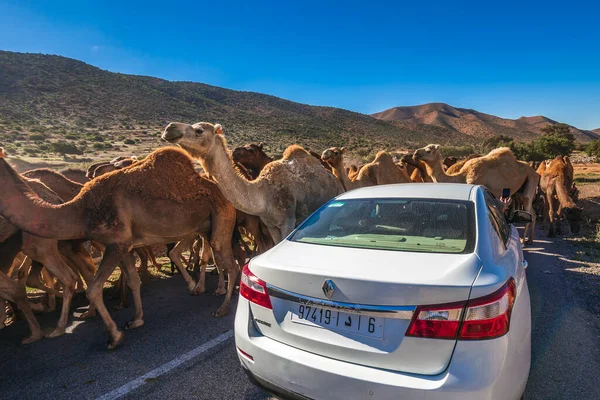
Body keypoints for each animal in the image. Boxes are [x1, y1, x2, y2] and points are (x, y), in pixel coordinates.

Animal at [0, 146, 239, 346]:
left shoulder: (115, 243)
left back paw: (222, 307)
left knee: (229, 262)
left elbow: (94, 288)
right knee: (201, 254)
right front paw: (136, 319)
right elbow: (133, 280)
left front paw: (114, 336)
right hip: (202, 227)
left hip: (221, 216)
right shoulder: (124, 245)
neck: (79, 211)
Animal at [163, 121, 342, 244]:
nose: (169, 128)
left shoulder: (288, 221)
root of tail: (336, 181)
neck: (263, 193)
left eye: (199, 130)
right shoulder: (271, 225)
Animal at [412, 144, 540, 244]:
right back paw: (530, 240)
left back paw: (523, 241)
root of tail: (536, 173)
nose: (415, 153)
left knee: (528, 210)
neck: (462, 176)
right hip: (520, 191)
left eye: (429, 150)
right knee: (532, 214)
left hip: (530, 183)